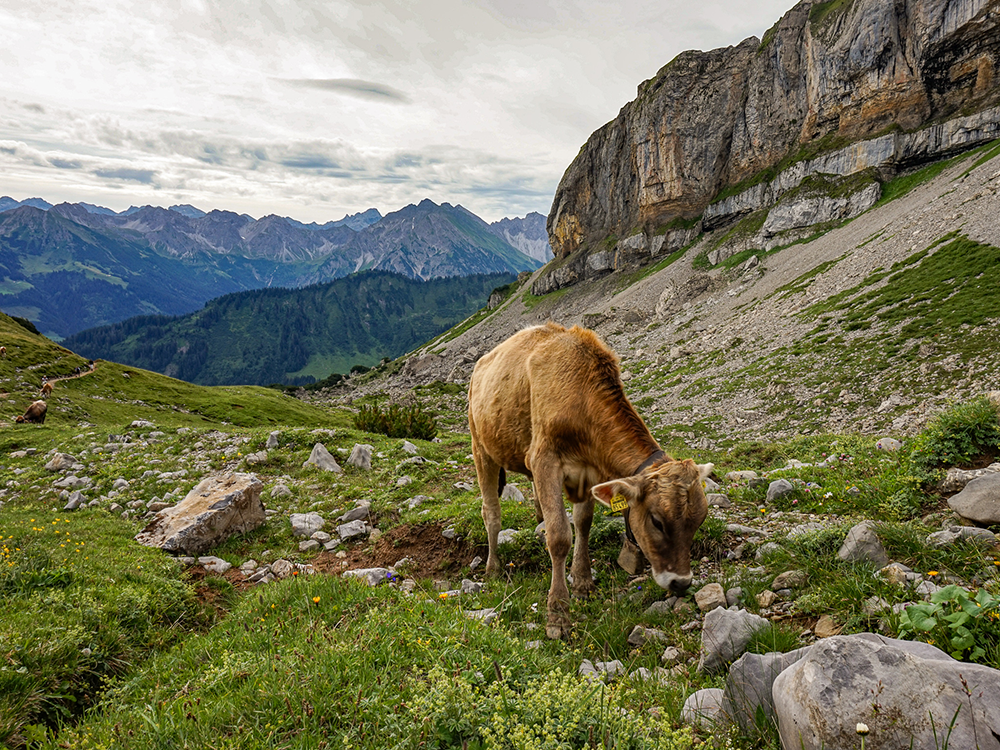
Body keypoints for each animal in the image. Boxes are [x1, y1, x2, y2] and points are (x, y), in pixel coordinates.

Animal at [468, 324, 712, 640]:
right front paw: (558, 614)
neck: (580, 397)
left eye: (699, 521)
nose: (681, 583)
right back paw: (493, 568)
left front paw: (583, 584)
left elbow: (583, 524)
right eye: (657, 522)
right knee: (491, 513)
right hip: (481, 448)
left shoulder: (589, 472)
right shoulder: (544, 460)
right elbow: (560, 536)